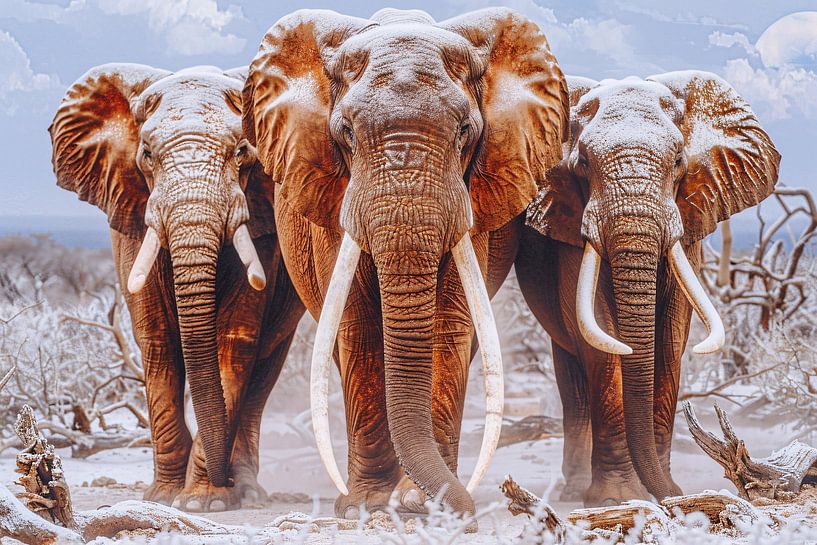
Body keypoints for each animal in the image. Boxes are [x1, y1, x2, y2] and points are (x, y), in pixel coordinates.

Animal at [50, 64, 305, 511]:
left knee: (264, 373)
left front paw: (205, 503)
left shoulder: (262, 225)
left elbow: (233, 341)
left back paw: (248, 492)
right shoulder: (132, 219)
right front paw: (164, 497)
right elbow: (157, 340)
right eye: (147, 154)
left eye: (242, 152)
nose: (222, 482)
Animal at [242, 8, 569, 519]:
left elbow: (450, 324)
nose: (467, 508)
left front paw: (420, 503)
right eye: (346, 133)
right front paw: (367, 505)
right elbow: (358, 326)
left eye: (464, 131)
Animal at [516, 72, 780, 506]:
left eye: (678, 162)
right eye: (583, 163)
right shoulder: (569, 227)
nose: (675, 493)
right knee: (571, 374)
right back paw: (573, 490)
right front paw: (616, 499)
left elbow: (673, 336)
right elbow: (599, 337)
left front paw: (664, 493)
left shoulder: (689, 219)